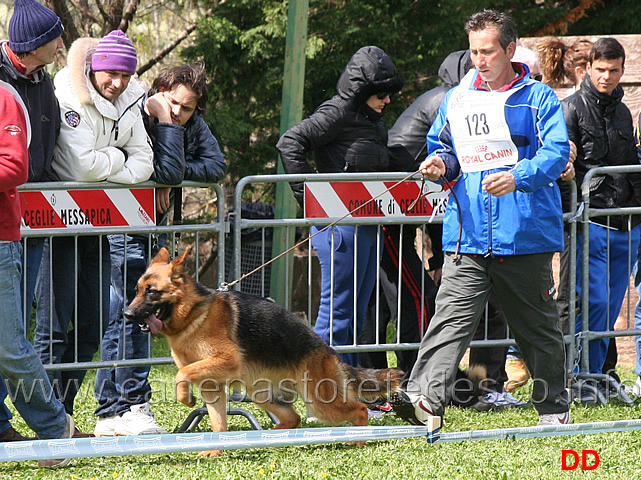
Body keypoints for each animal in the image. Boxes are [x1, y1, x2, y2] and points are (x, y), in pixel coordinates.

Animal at [124, 249, 400, 456]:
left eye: (152, 291)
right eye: (136, 290)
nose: (126, 314)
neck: (193, 314)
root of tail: (327, 351)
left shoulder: (225, 361)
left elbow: (181, 373)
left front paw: (186, 398)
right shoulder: (211, 385)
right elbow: (217, 420)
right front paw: (215, 449)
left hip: (321, 402)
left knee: (358, 410)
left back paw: (359, 439)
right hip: (260, 393)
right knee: (293, 418)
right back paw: (268, 437)